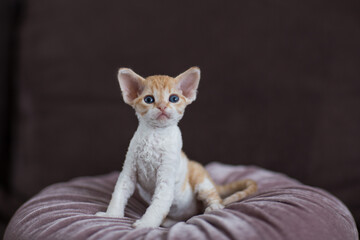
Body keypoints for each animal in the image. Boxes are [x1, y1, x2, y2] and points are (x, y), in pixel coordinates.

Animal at [97, 66, 258, 228]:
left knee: (213, 196)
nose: (162, 106)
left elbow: (159, 203)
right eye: (149, 99)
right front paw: (111, 215)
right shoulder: (129, 171)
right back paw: (168, 221)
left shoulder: (166, 176)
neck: (155, 135)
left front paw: (146, 224)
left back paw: (214, 207)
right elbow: (119, 192)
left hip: (201, 181)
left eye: (173, 98)